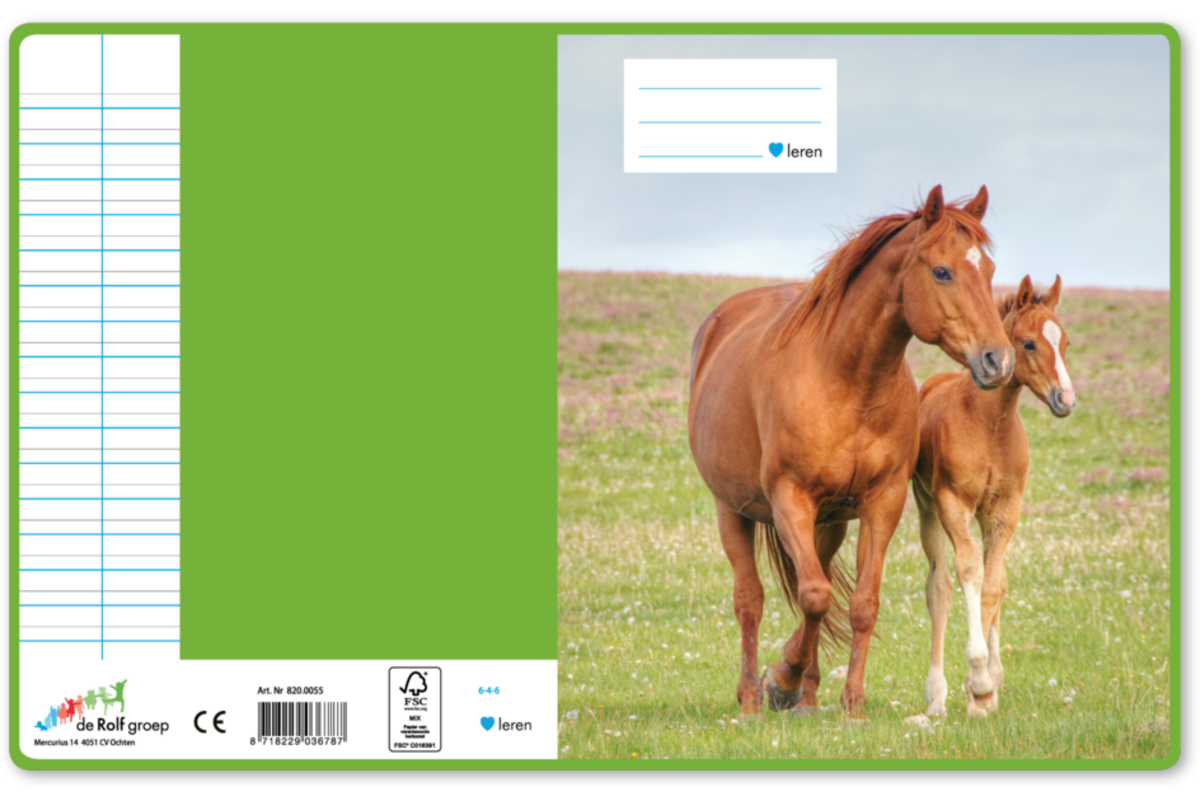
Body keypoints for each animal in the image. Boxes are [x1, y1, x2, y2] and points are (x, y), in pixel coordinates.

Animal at [688, 185, 1014, 720]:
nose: (998, 359)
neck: (848, 381)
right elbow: (816, 596)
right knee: (750, 600)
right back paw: (753, 698)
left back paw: (808, 697)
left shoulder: (882, 503)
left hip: (828, 524)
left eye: (988, 270)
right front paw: (782, 678)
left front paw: (852, 705)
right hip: (732, 510)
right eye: (942, 271)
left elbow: (859, 604)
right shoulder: (790, 499)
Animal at [912, 275, 1075, 718]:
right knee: (939, 588)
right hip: (927, 509)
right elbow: (969, 572)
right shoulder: (952, 503)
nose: (1066, 400)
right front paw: (979, 680)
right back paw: (936, 696)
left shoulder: (1005, 510)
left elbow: (993, 585)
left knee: (991, 578)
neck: (989, 423)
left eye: (1065, 342)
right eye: (1029, 343)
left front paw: (984, 689)